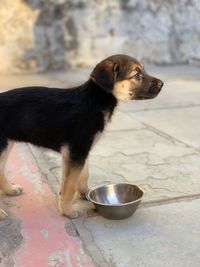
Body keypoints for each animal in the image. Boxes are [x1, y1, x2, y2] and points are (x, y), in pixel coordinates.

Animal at [0, 55, 162, 220]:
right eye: (137, 75)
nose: (162, 84)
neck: (94, 101)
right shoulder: (76, 151)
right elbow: (69, 185)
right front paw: (67, 210)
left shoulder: (81, 151)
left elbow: (83, 174)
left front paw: (85, 194)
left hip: (6, 145)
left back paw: (10, 189)